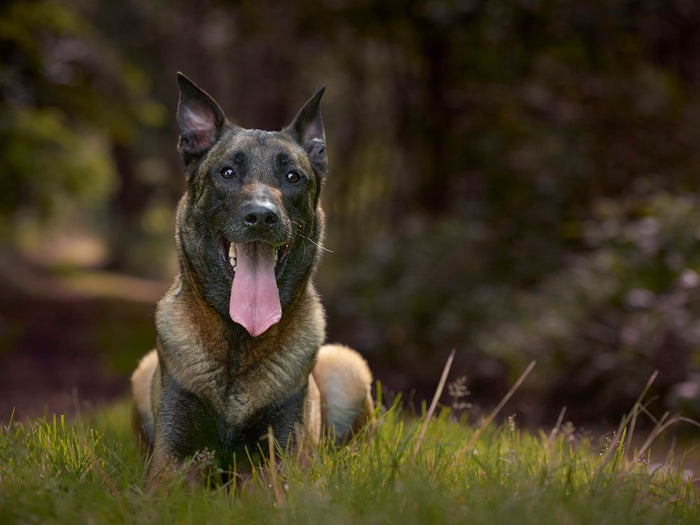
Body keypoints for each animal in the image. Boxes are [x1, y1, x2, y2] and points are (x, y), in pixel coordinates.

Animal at [129, 73, 374, 484]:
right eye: (227, 172)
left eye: (293, 177)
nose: (262, 216)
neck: (239, 342)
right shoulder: (171, 459)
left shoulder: (279, 458)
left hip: (347, 365)